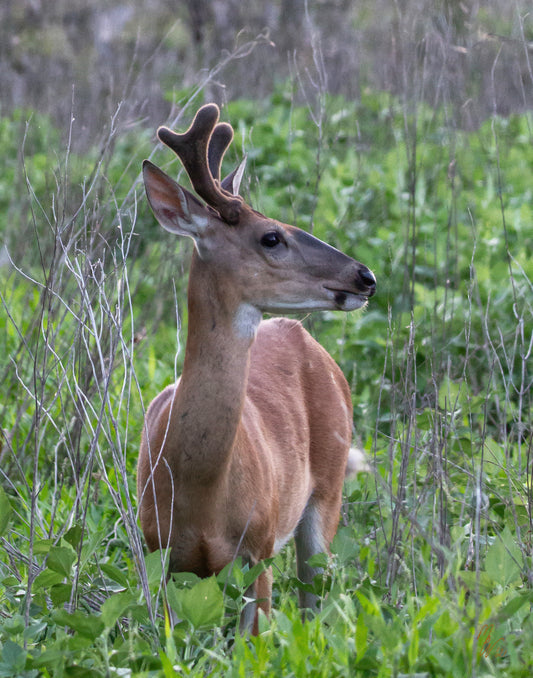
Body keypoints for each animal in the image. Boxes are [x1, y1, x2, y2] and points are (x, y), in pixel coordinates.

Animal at [139, 103, 376, 636]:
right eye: (271, 236)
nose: (365, 276)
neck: (198, 486)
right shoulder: (155, 554)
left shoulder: (259, 546)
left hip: (326, 496)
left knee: (314, 605)